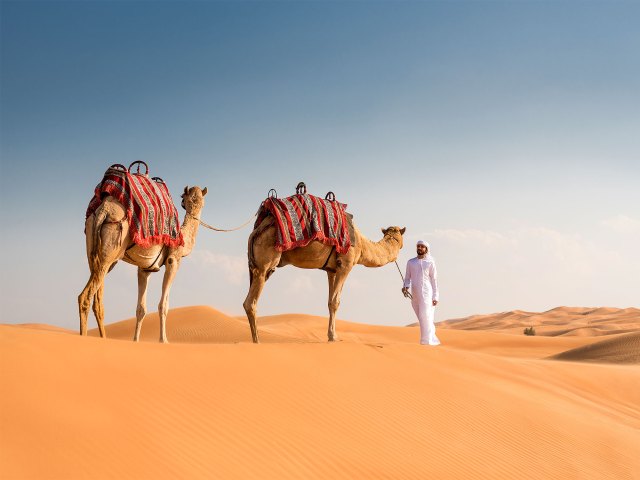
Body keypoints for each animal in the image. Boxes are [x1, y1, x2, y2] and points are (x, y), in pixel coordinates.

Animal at [77, 163, 208, 344]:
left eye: (201, 202)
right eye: (185, 201)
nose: (196, 212)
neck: (183, 238)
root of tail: (104, 209)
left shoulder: (145, 269)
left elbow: (141, 309)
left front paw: (135, 340)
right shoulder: (173, 261)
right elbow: (163, 305)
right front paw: (163, 340)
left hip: (94, 249)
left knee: (98, 299)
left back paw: (104, 338)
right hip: (111, 246)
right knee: (85, 297)